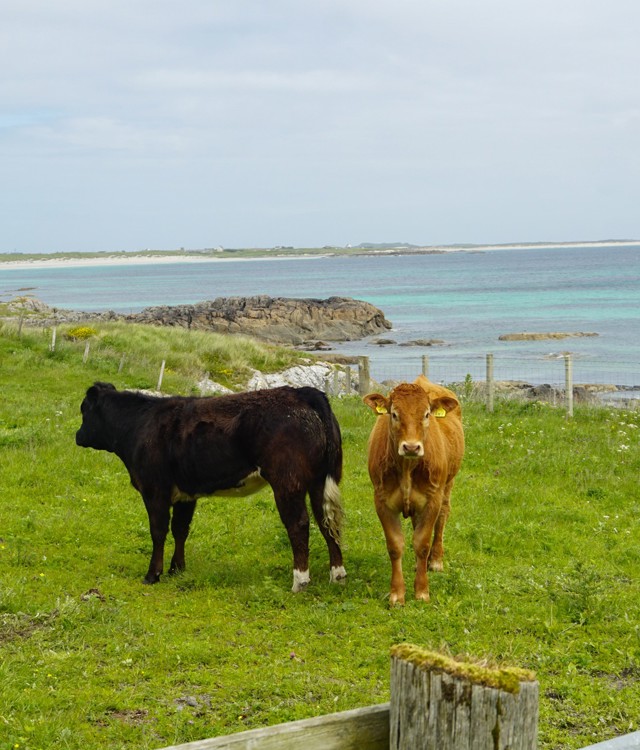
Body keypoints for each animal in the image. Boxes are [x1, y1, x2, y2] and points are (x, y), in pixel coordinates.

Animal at [75, 382, 346, 593]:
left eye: (83, 410)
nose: (77, 436)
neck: (139, 425)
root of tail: (303, 392)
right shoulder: (185, 495)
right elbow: (181, 529)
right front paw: (177, 569)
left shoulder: (154, 490)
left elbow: (158, 531)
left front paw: (153, 575)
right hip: (318, 481)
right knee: (326, 520)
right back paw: (337, 574)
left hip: (287, 481)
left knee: (299, 524)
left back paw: (300, 581)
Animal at [363, 375, 464, 605]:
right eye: (394, 414)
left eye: (426, 414)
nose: (411, 447)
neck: (407, 468)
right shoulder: (382, 501)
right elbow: (395, 546)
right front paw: (397, 594)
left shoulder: (432, 499)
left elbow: (422, 544)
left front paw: (422, 591)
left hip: (448, 485)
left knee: (442, 517)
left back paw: (435, 561)